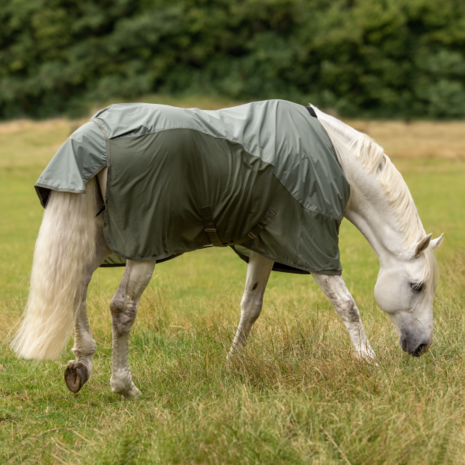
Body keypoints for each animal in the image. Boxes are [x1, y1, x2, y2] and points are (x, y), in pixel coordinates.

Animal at [11, 99, 442, 396]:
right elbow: (347, 306)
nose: (421, 346)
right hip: (142, 245)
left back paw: (81, 364)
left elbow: (251, 307)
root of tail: (93, 132)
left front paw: (233, 363)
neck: (333, 158)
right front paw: (368, 362)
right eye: (417, 286)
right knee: (122, 307)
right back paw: (124, 386)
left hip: (96, 237)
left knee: (75, 286)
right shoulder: (311, 242)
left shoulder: (266, 244)